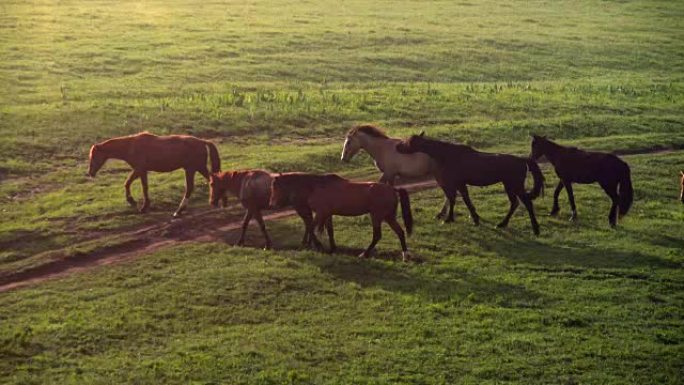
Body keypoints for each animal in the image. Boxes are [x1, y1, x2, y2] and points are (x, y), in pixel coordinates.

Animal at [88, 131, 220, 216]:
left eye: (93, 156)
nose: (90, 173)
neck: (131, 146)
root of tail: (202, 141)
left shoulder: (139, 169)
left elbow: (129, 183)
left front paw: (134, 202)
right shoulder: (142, 171)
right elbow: (143, 187)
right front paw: (144, 205)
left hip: (192, 169)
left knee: (191, 187)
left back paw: (179, 211)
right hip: (195, 168)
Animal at [270, 172, 414, 260]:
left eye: (276, 187)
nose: (272, 204)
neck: (316, 187)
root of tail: (392, 189)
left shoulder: (320, 213)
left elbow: (310, 228)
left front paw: (315, 245)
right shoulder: (327, 214)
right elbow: (329, 231)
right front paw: (332, 248)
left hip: (377, 217)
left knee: (377, 236)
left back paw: (364, 254)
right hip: (389, 217)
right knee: (400, 232)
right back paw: (405, 256)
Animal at [396, 131, 544, 234]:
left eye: (409, 141)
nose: (398, 146)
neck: (446, 154)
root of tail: (522, 160)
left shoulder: (456, 183)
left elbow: (454, 199)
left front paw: (449, 218)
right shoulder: (460, 184)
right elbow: (465, 200)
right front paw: (475, 218)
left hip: (515, 185)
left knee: (526, 203)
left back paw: (535, 229)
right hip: (509, 185)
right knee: (514, 203)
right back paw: (502, 224)